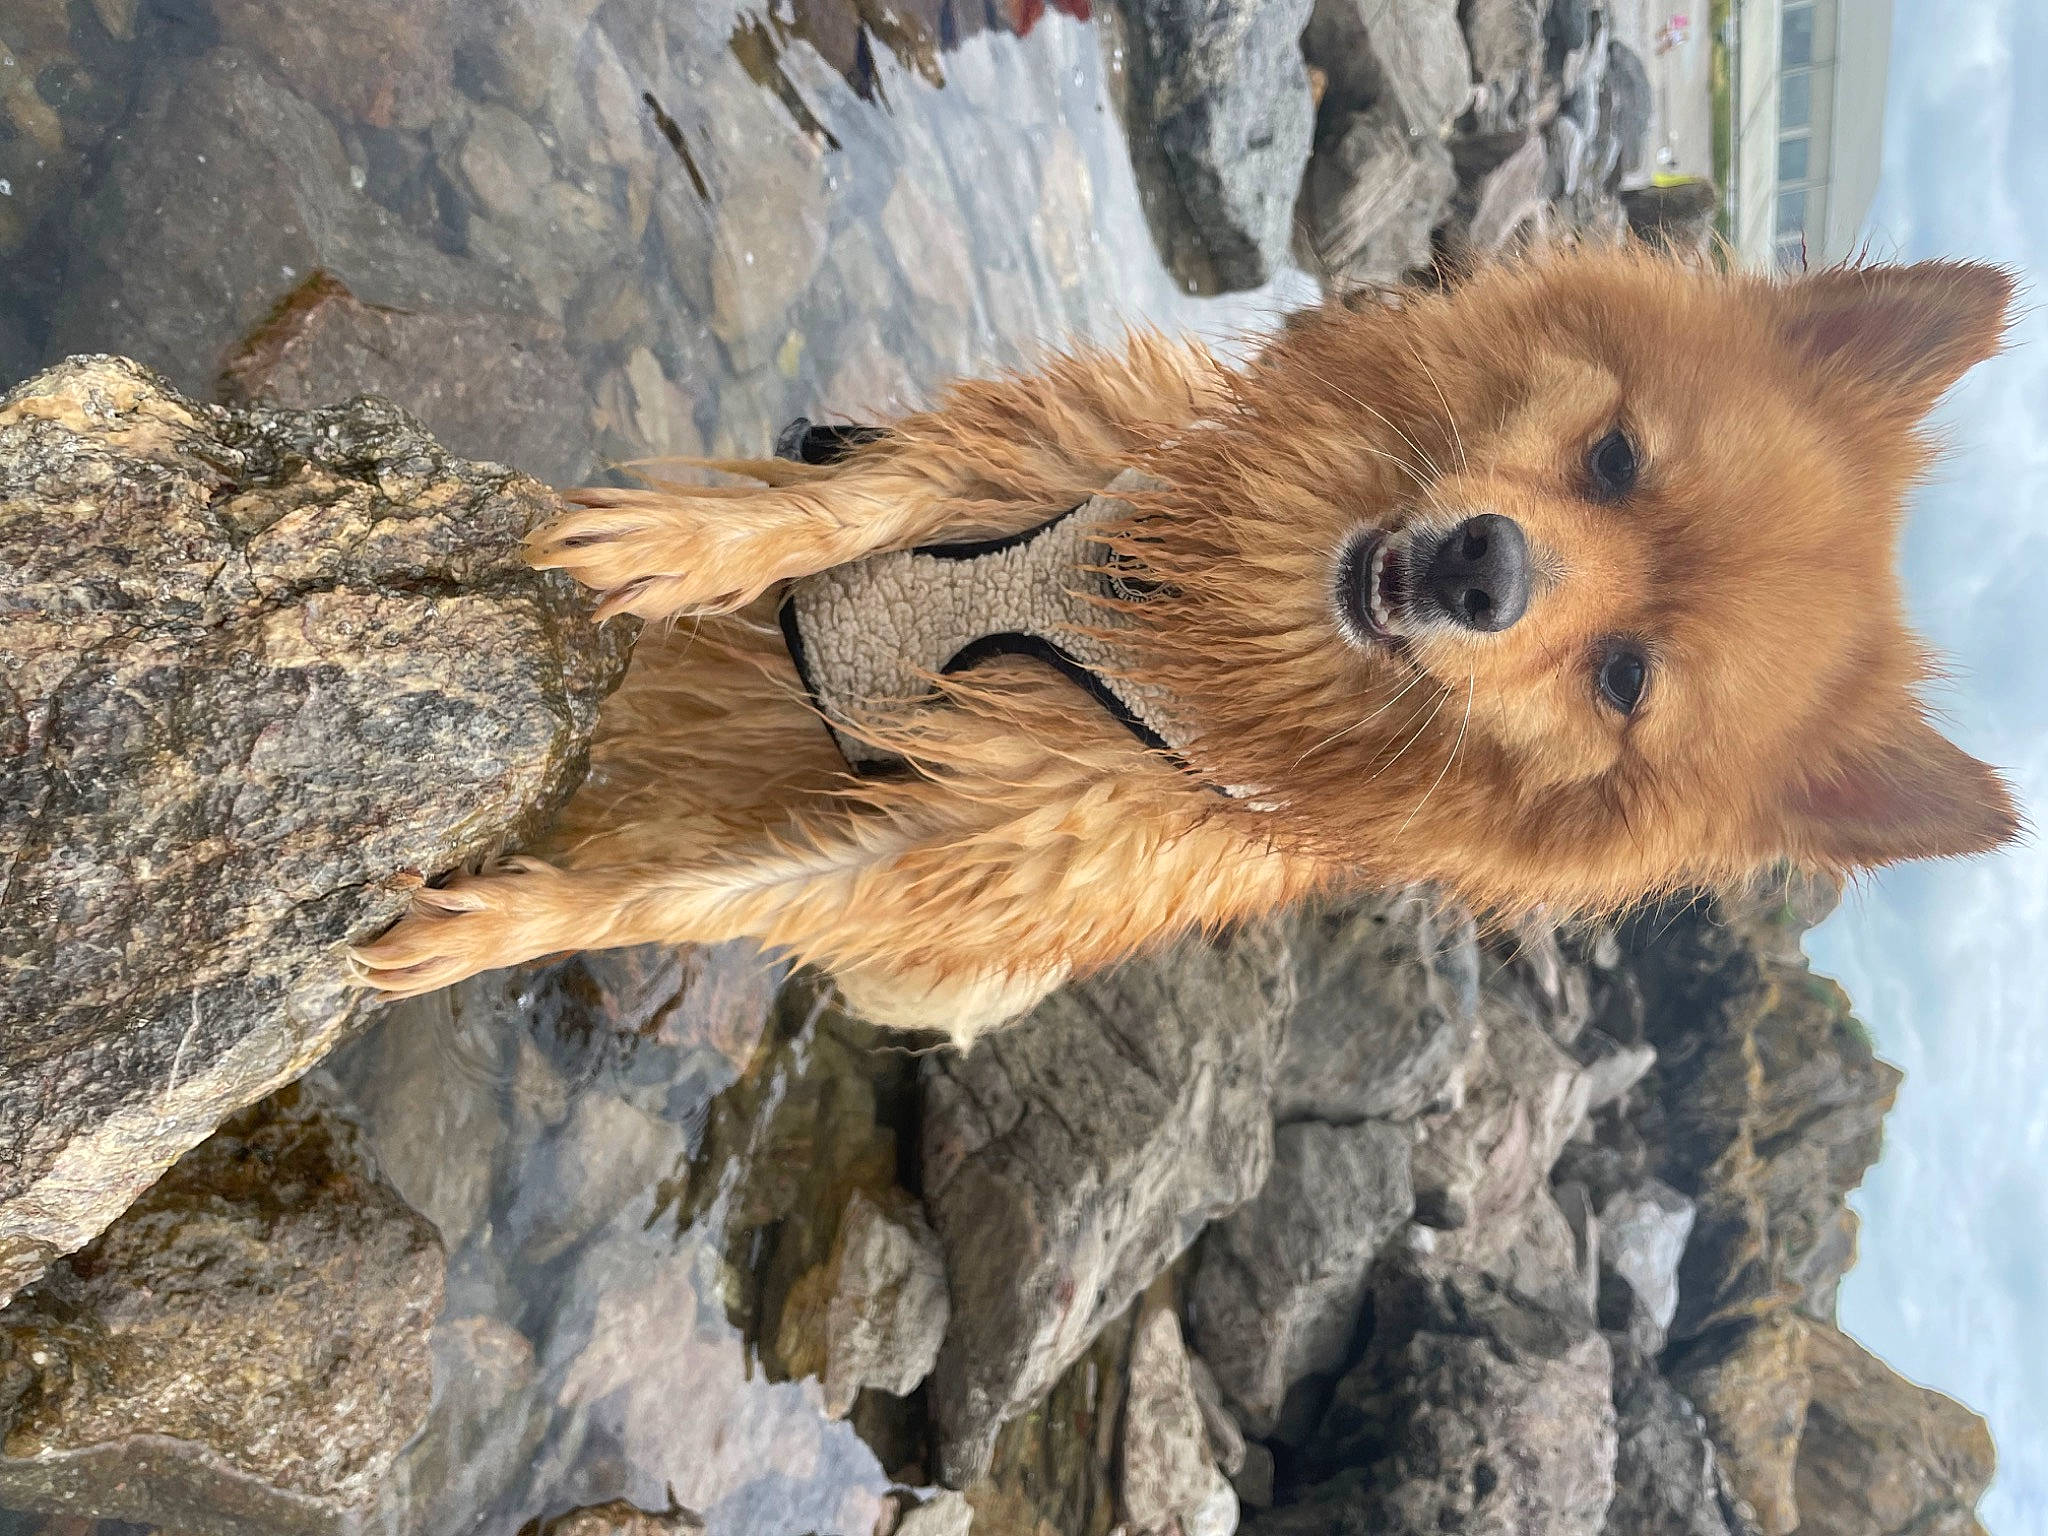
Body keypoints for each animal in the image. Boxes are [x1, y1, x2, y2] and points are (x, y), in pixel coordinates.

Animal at [352, 246, 2022, 1044]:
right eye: (1615, 458)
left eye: (1628, 682)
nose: (1481, 568)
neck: (1164, 619)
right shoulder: (1023, 457)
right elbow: (849, 504)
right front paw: (690, 546)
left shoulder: (934, 863)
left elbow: (686, 901)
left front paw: (504, 931)